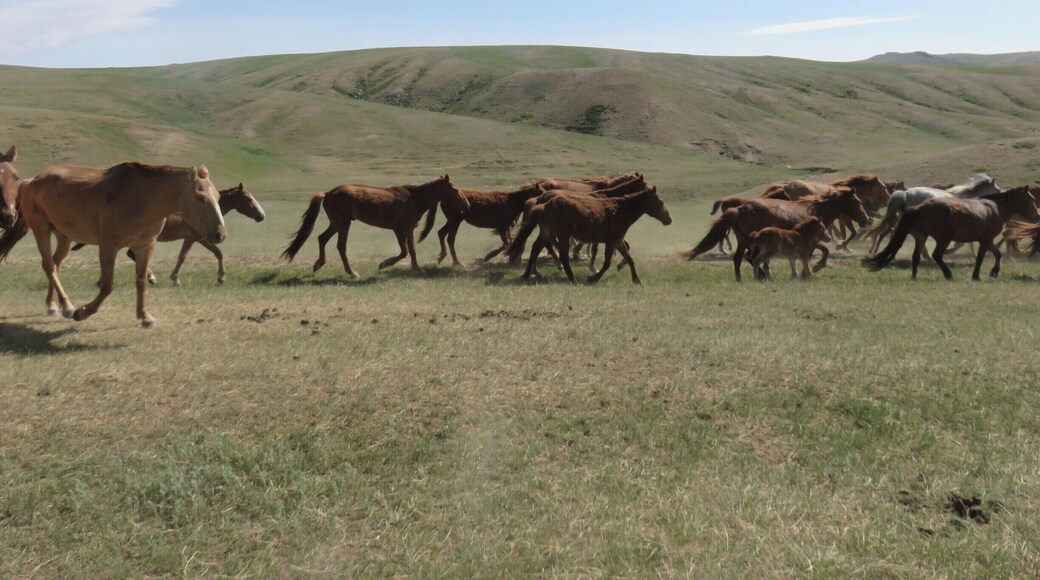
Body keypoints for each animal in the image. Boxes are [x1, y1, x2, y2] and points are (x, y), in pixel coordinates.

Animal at [0, 162, 226, 327]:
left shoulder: (146, 246)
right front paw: (83, 312)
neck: (142, 199)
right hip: (41, 230)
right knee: (49, 266)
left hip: (64, 237)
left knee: (54, 264)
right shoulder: (108, 246)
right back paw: (68, 306)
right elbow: (107, 286)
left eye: (218, 196)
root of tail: (31, 181)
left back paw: (53, 306)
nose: (220, 234)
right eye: (200, 197)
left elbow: (141, 281)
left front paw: (145, 317)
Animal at [281, 175, 470, 278]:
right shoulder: (399, 229)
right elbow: (404, 251)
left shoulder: (408, 229)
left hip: (336, 223)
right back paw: (352, 273)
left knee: (322, 238)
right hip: (343, 223)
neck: (414, 198)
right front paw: (384, 264)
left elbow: (412, 250)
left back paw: (319, 264)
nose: (467, 205)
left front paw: (417, 269)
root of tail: (328, 194)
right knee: (340, 246)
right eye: (454, 189)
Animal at [510, 186, 671, 284]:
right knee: (562, 255)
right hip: (562, 235)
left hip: (547, 233)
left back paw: (526, 275)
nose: (669, 219)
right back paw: (572, 278)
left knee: (536, 249)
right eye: (659, 200)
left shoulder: (618, 241)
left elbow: (630, 259)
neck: (621, 209)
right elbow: (606, 263)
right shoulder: (611, 242)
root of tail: (544, 205)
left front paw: (636, 280)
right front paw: (593, 278)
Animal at [682, 188, 870, 282]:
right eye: (858, 202)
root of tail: (740, 209)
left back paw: (744, 278)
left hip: (744, 241)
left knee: (739, 258)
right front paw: (812, 270)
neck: (813, 211)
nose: (866, 220)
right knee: (749, 258)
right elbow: (821, 252)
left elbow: (820, 251)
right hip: (750, 242)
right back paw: (759, 276)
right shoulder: (810, 242)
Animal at [863, 186, 1039, 280]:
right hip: (943, 239)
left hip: (922, 236)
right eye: (1031, 199)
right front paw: (977, 276)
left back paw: (914, 276)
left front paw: (993, 273)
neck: (995, 208)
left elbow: (997, 254)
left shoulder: (987, 240)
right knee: (937, 255)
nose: (1037, 215)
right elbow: (981, 258)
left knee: (916, 256)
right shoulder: (985, 240)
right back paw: (948, 274)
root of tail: (919, 207)